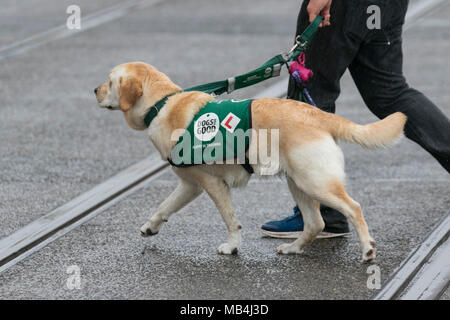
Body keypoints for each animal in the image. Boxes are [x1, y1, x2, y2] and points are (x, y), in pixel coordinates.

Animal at [95, 61, 408, 262]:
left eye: (110, 81)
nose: (94, 90)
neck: (161, 104)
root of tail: (319, 114)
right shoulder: (190, 184)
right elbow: (164, 206)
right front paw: (151, 227)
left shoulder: (212, 183)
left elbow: (230, 219)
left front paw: (232, 247)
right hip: (299, 183)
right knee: (315, 223)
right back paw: (293, 249)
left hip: (316, 182)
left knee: (353, 208)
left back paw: (367, 250)